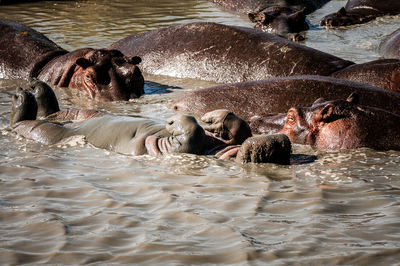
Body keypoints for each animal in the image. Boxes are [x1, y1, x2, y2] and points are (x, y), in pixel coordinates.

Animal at [9, 79, 290, 164]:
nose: (281, 141)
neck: (221, 150)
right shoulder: (229, 140)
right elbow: (238, 128)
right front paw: (214, 118)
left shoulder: (187, 148)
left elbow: (191, 134)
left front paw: (177, 121)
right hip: (82, 115)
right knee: (52, 111)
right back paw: (34, 86)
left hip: (47, 131)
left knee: (25, 123)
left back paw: (22, 96)